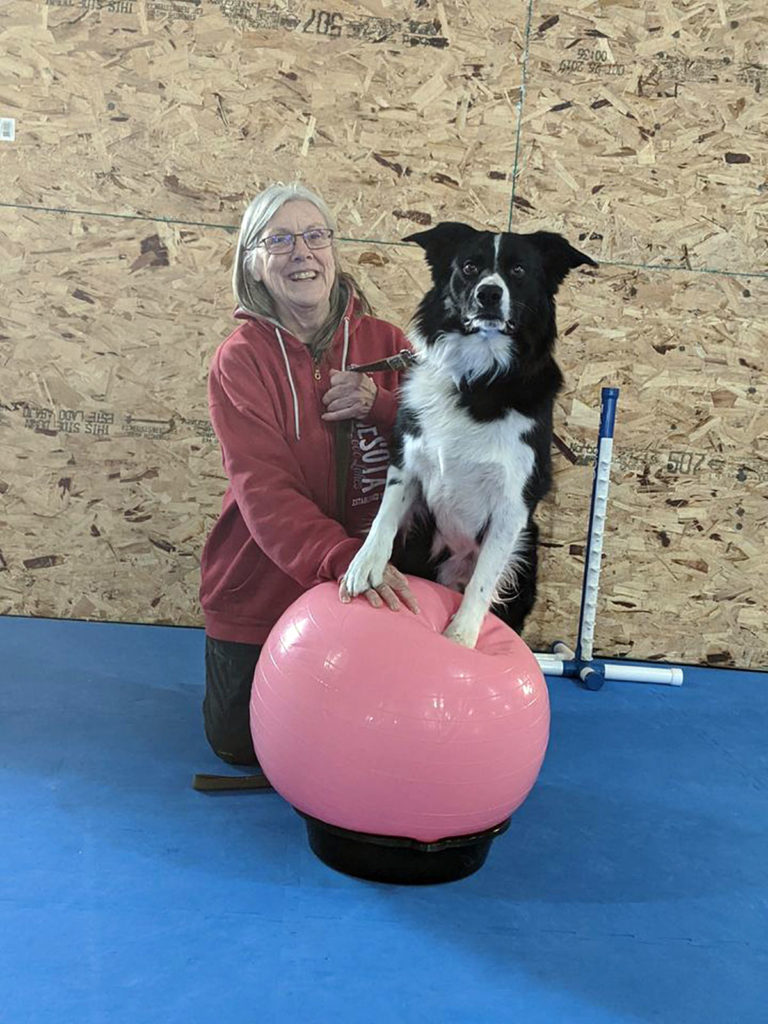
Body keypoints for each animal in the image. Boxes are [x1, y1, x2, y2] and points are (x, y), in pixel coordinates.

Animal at [342, 224, 602, 647]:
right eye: (469, 267)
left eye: (518, 270)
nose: (489, 294)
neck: (477, 378)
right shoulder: (408, 458)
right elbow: (384, 516)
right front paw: (364, 566)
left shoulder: (514, 504)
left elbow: (484, 580)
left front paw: (460, 638)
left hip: (526, 550)